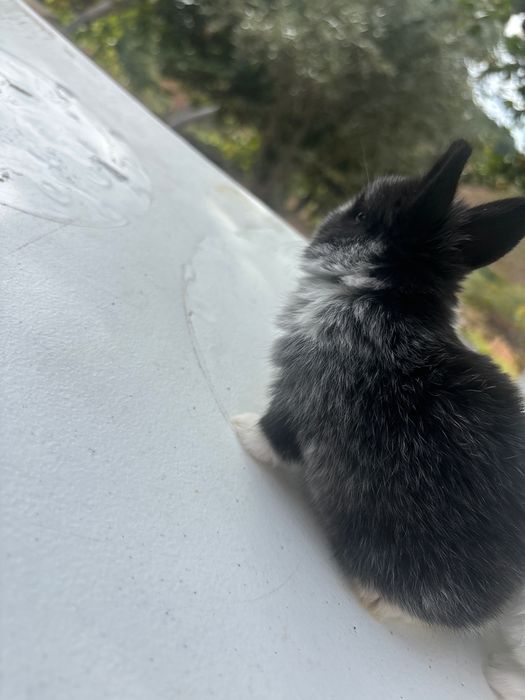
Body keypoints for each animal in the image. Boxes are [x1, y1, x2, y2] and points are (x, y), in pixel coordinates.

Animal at [232, 140, 525, 636]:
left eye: (362, 216)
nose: (329, 218)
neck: (380, 299)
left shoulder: (301, 394)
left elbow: (275, 433)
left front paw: (240, 429)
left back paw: (372, 597)